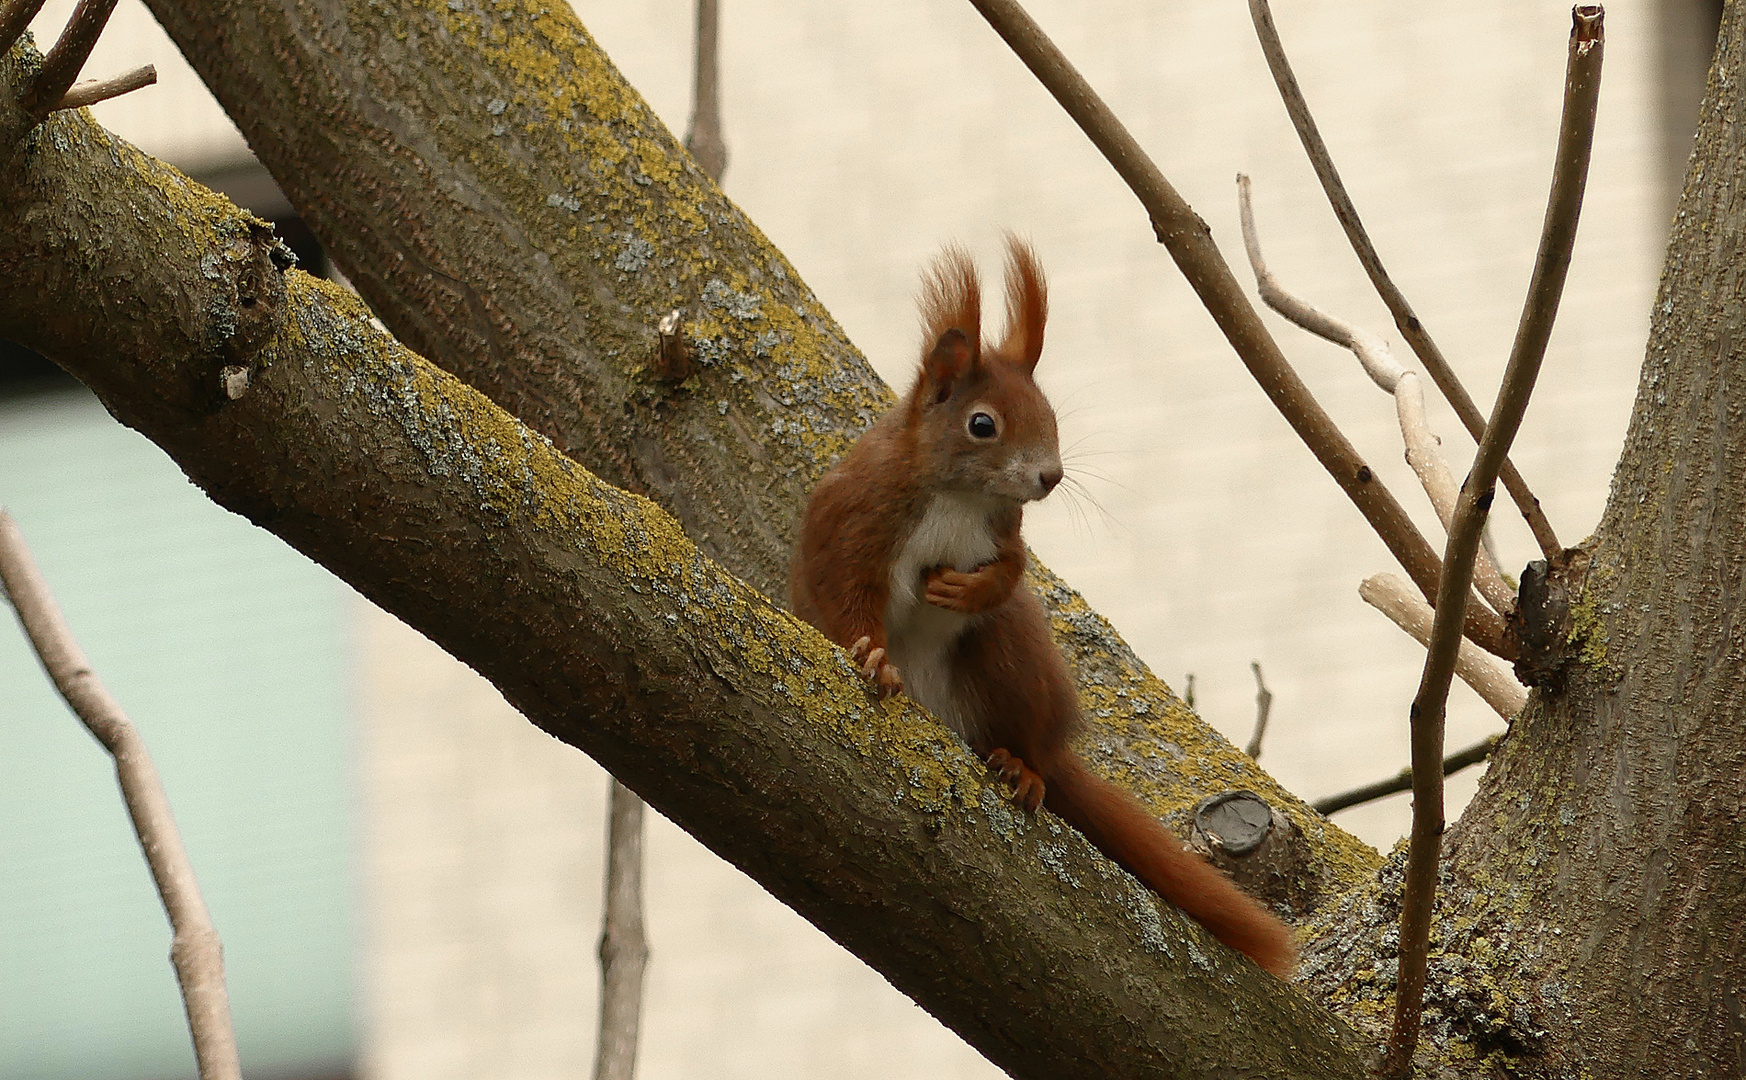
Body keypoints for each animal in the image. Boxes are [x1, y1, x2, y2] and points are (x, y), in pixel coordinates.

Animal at [792, 237, 1299, 977]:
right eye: (983, 424)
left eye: (1052, 416)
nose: (1051, 476)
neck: (960, 496)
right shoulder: (859, 520)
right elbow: (847, 594)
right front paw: (873, 660)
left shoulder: (1003, 532)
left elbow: (1011, 573)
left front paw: (967, 590)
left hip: (1010, 661)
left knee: (1021, 714)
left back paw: (1021, 768)